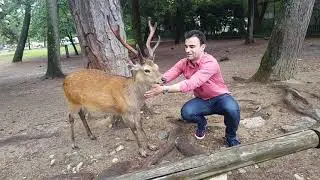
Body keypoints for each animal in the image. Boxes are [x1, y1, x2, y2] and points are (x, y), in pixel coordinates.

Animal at [62, 17, 162, 158]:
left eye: (157, 66)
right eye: (146, 70)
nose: (163, 79)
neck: (134, 99)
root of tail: (64, 81)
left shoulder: (137, 110)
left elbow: (140, 126)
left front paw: (151, 145)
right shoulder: (123, 111)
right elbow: (134, 129)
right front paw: (142, 151)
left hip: (80, 102)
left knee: (81, 114)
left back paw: (91, 135)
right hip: (71, 100)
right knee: (70, 117)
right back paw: (73, 143)